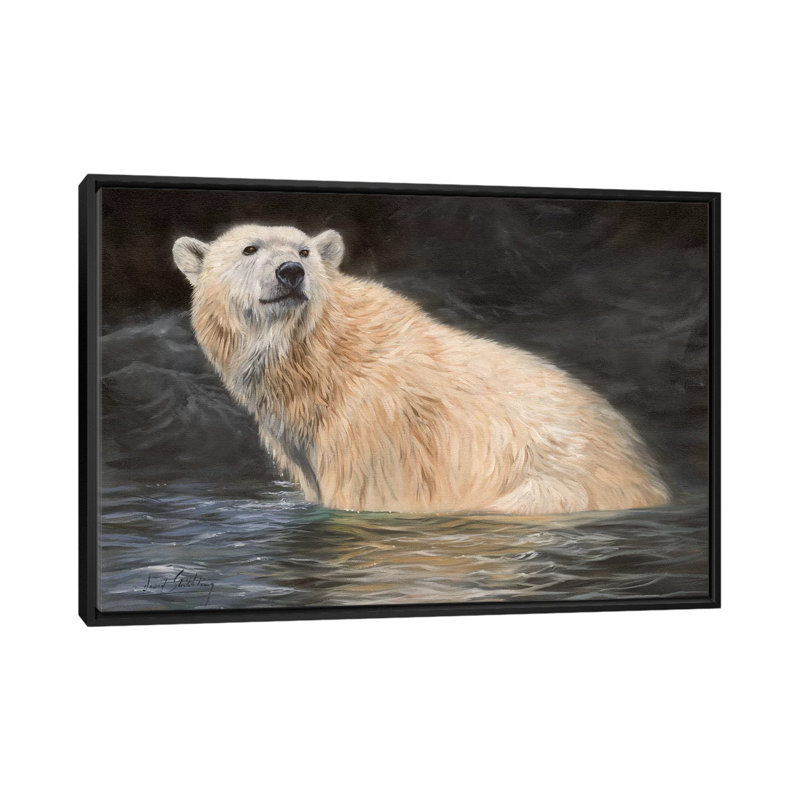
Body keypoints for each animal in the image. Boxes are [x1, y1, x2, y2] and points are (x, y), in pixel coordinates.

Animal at [172, 224, 670, 515]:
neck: (323, 360)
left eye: (305, 250)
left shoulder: (375, 434)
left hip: (552, 487)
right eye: (249, 249)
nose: (291, 271)